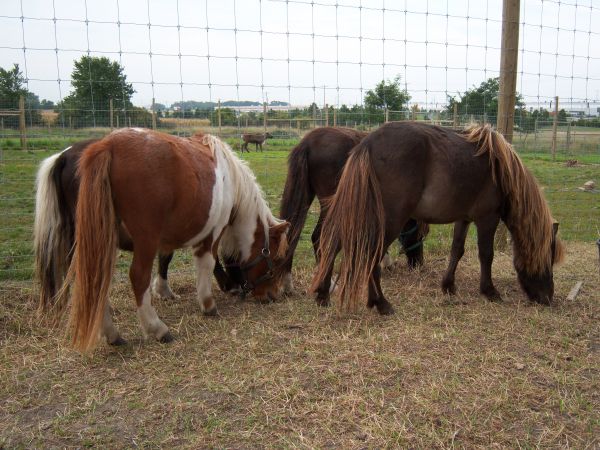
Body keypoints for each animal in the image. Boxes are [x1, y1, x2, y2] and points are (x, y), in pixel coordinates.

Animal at [37, 128, 288, 350]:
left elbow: (167, 259)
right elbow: (208, 262)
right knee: (137, 277)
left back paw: (112, 334)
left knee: (95, 280)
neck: (229, 177)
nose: (272, 295)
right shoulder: (212, 232)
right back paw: (157, 328)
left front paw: (166, 290)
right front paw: (208, 303)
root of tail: (106, 146)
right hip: (144, 240)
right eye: (275, 260)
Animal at [278, 126, 428, 304]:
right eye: (421, 234)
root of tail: (307, 143)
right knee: (319, 237)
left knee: (291, 234)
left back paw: (288, 285)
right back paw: (328, 285)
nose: (418, 263)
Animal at [312, 121, 564, 314]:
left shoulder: (464, 219)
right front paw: (489, 291)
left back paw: (323, 294)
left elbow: (457, 250)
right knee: (372, 253)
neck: (501, 170)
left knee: (333, 243)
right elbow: (486, 254)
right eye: (548, 257)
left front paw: (448, 286)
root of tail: (368, 144)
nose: (547, 297)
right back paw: (380, 303)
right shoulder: (487, 218)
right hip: (389, 220)